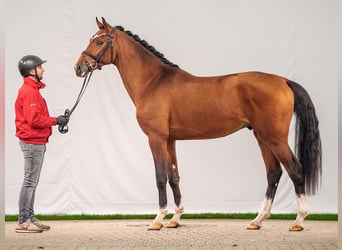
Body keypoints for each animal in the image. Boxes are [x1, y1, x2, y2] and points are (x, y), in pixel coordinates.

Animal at [74, 17, 320, 231]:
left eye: (99, 41)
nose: (78, 68)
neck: (153, 82)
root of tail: (283, 81)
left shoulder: (156, 138)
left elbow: (160, 177)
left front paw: (158, 220)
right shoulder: (170, 140)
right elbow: (174, 177)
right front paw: (175, 219)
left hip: (274, 138)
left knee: (295, 170)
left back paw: (299, 221)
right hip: (262, 137)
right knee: (273, 174)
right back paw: (257, 220)